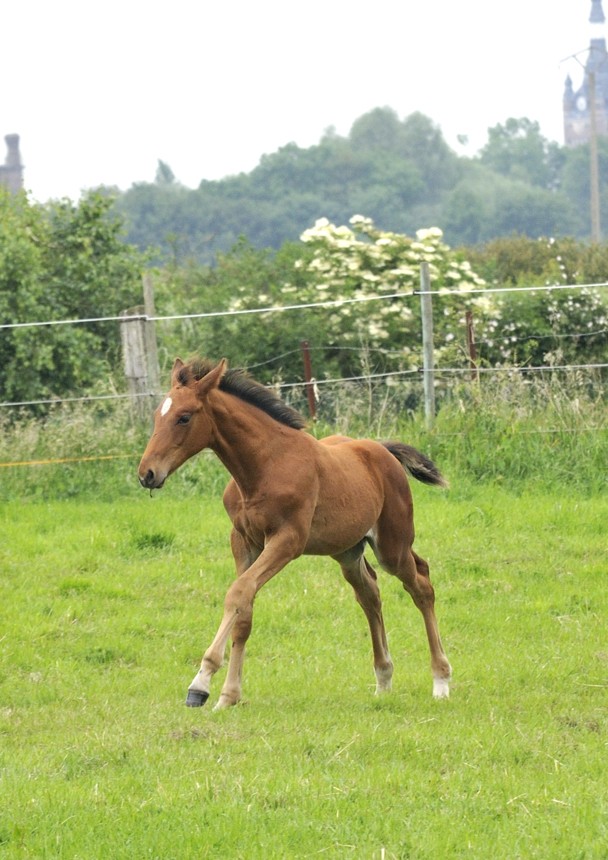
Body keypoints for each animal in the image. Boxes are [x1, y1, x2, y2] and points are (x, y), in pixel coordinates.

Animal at [138, 356, 452, 704]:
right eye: (157, 415)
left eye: (184, 417)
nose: (147, 473)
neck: (264, 466)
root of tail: (383, 451)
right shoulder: (243, 541)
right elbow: (244, 609)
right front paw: (229, 694)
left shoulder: (287, 541)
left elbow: (238, 593)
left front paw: (201, 683)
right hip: (348, 550)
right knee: (369, 593)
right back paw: (383, 680)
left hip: (392, 545)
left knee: (421, 584)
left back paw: (441, 680)